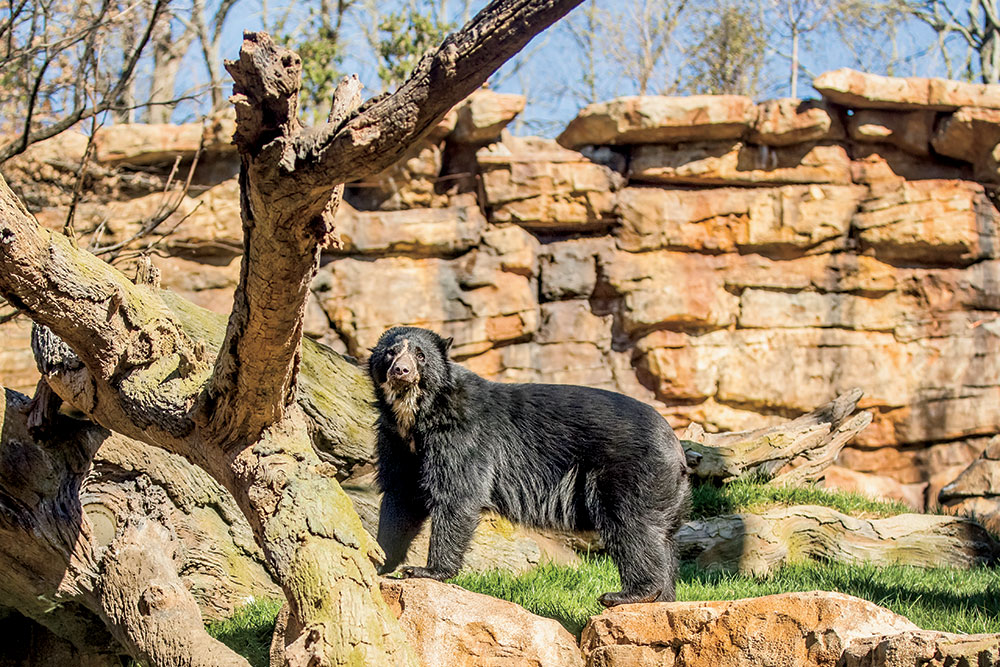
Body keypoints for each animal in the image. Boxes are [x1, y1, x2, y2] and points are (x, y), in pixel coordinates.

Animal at [366, 326, 688, 608]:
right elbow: (401, 497)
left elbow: (456, 494)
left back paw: (629, 594)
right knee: (661, 539)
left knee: (631, 528)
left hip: (631, 473)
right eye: (390, 353)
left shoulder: (461, 434)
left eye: (420, 355)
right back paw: (662, 597)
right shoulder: (396, 442)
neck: (415, 414)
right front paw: (381, 559)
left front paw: (424, 570)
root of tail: (676, 447)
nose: (401, 370)